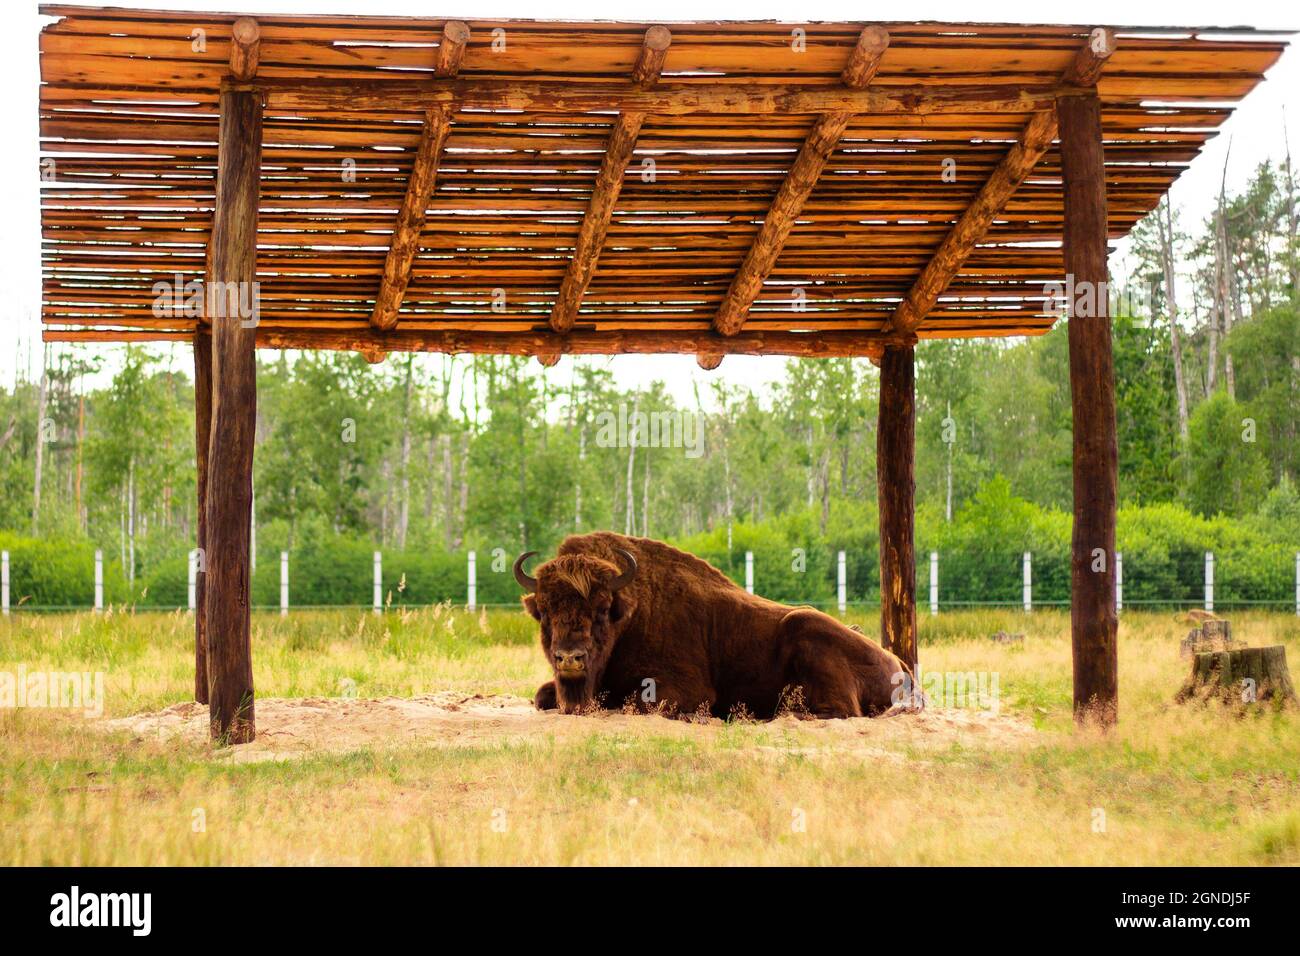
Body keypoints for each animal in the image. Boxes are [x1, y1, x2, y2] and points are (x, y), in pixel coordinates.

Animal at [509, 530, 915, 717]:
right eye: (544, 609)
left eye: (601, 608)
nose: (569, 658)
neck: (630, 615)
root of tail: (899, 663)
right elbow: (541, 695)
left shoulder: (682, 689)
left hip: (806, 624)